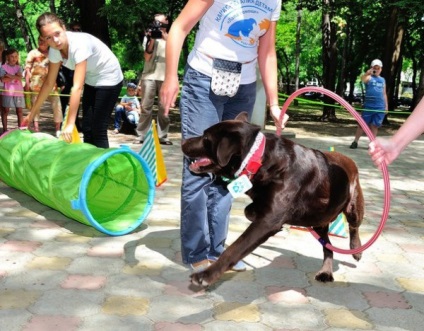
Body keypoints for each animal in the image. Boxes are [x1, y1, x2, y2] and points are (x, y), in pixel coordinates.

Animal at [182, 112, 364, 288]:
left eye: (206, 138)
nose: (183, 141)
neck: (259, 158)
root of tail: (348, 160)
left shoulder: (267, 222)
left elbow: (234, 249)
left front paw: (205, 275)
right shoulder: (268, 211)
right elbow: (249, 210)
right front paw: (257, 213)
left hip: (353, 208)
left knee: (353, 226)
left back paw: (356, 250)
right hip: (318, 218)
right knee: (328, 246)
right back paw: (326, 271)